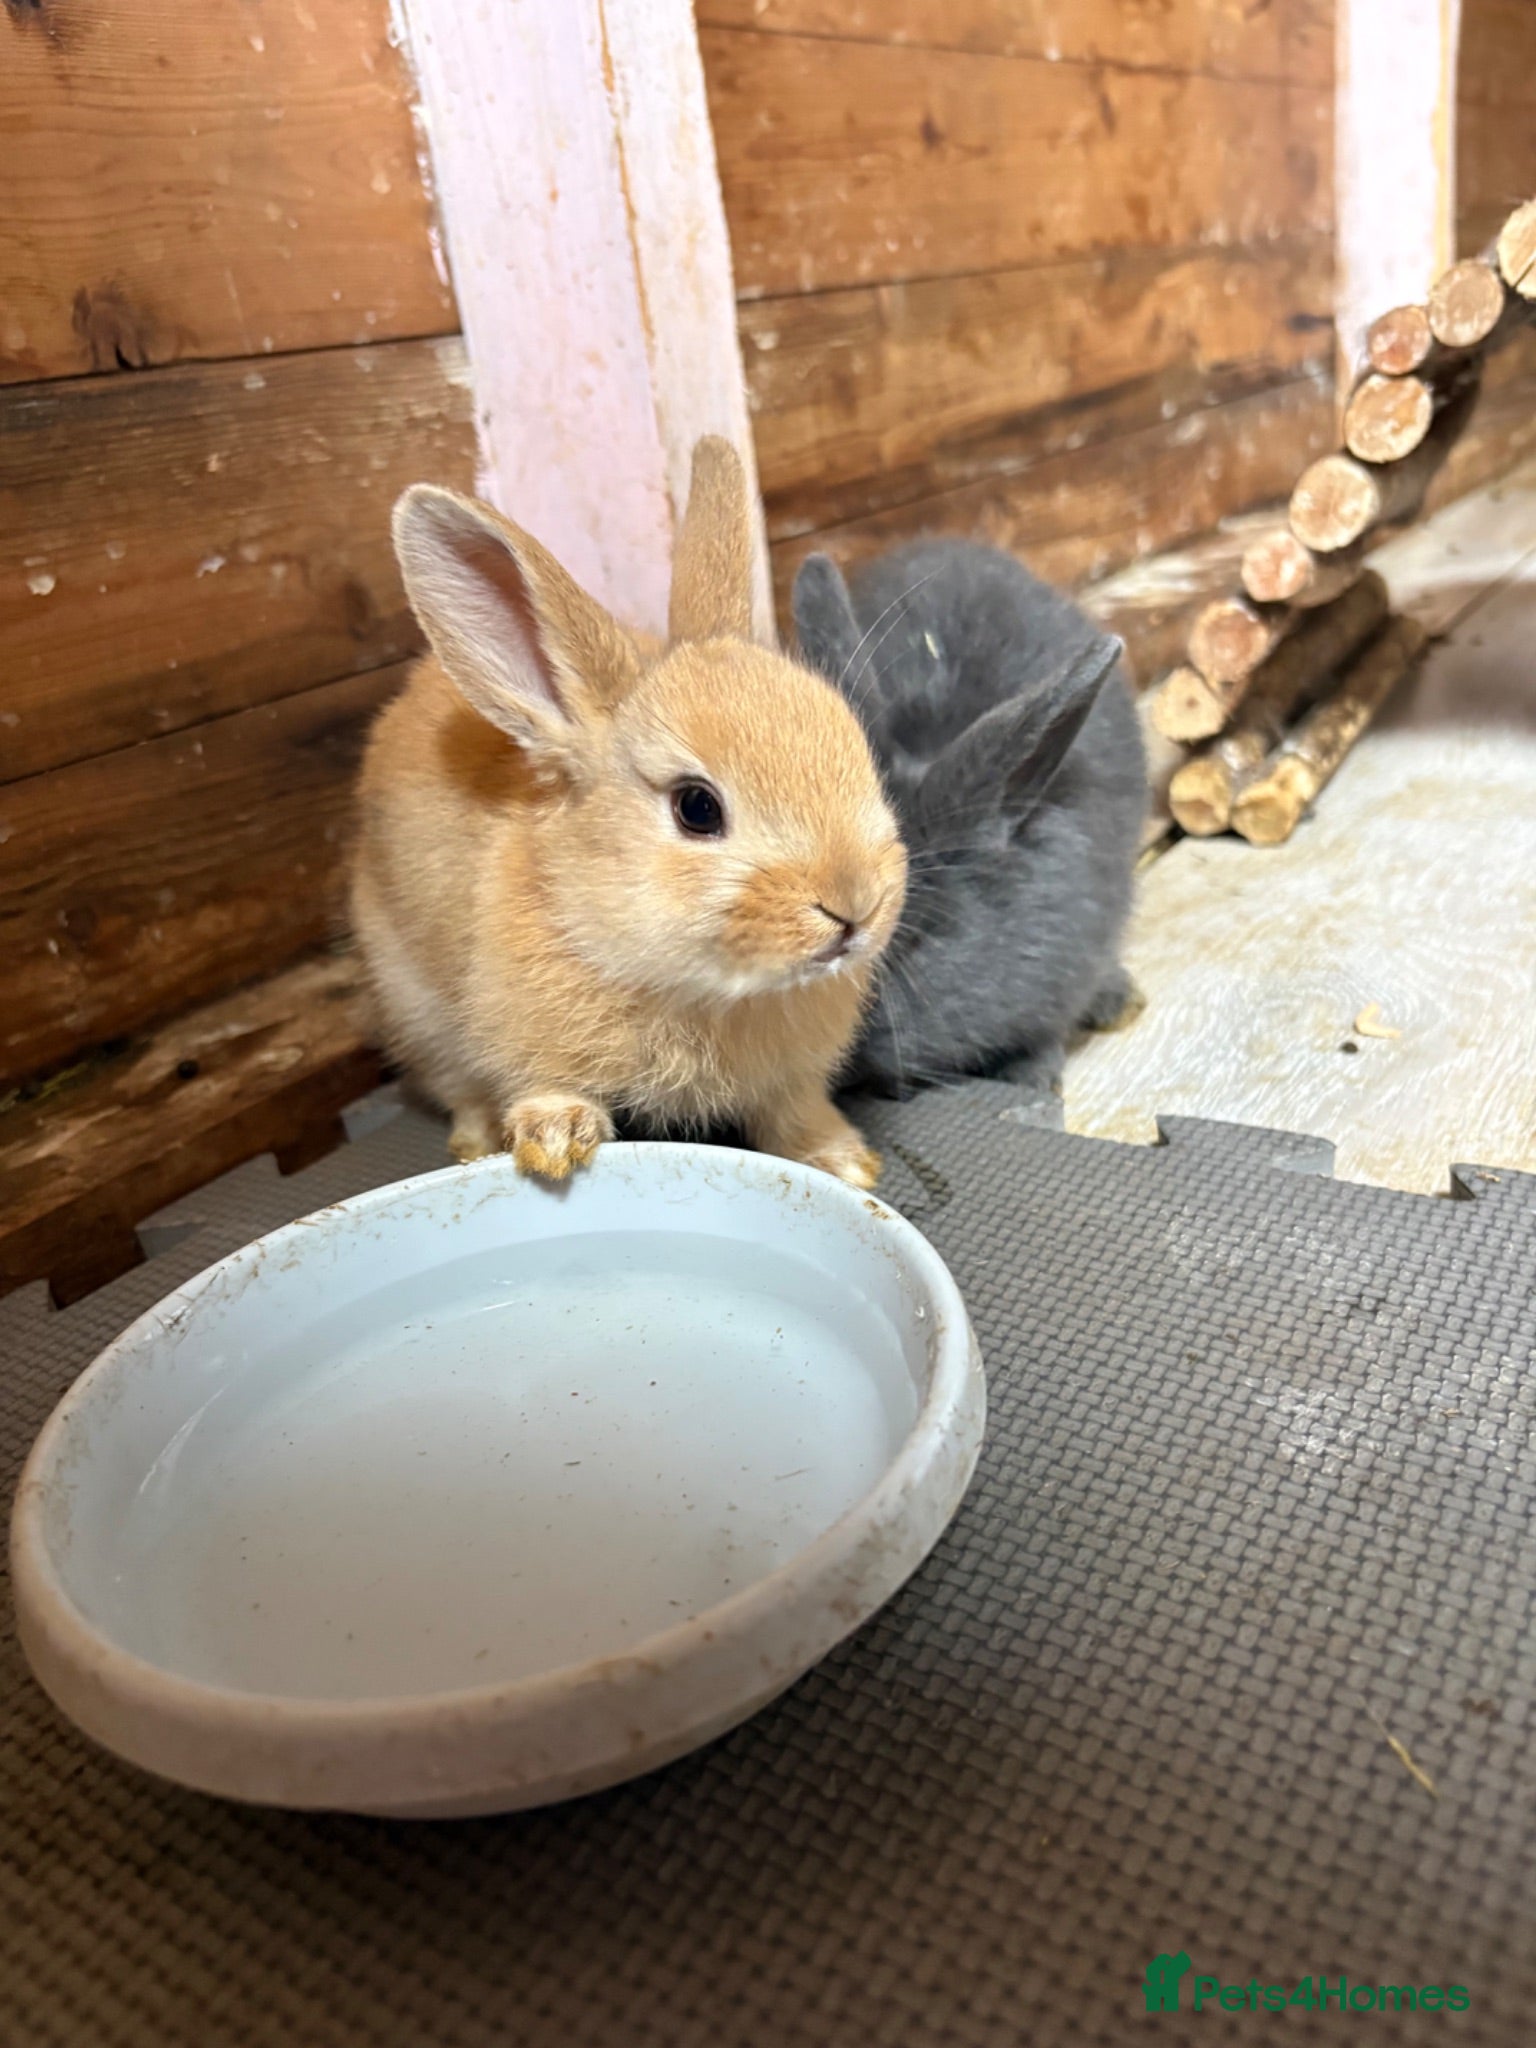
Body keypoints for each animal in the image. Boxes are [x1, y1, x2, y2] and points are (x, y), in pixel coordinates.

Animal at [350, 438, 907, 1188]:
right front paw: (556, 1141)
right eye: (697, 807)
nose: (854, 906)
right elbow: (542, 1083)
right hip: (411, 1004)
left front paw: (844, 1163)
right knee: (455, 1085)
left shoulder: (790, 1083)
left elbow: (794, 1114)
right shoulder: (523, 1038)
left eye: (857, 751)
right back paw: (476, 1142)